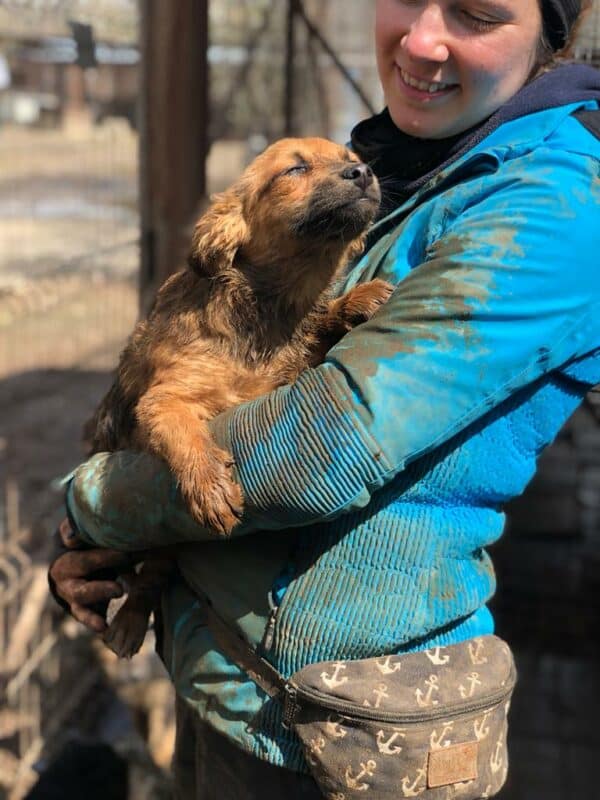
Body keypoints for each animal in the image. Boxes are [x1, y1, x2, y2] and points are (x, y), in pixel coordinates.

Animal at [86, 139, 392, 656]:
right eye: (295, 169)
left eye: (350, 158)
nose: (365, 173)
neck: (270, 309)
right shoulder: (165, 400)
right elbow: (184, 431)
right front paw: (210, 487)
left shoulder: (286, 374)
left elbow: (316, 337)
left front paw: (353, 301)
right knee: (148, 577)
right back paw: (127, 624)